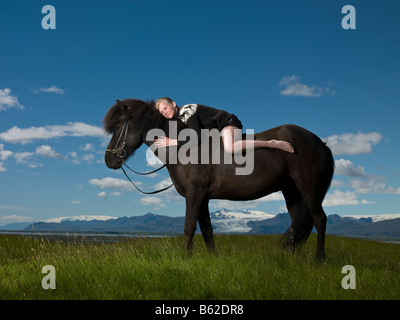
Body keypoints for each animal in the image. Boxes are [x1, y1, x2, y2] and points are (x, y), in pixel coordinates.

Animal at [103, 99, 334, 258]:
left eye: (118, 126)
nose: (108, 159)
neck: (183, 148)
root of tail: (319, 142)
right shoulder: (203, 197)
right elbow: (207, 229)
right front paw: (212, 257)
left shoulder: (195, 193)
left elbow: (189, 226)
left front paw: (187, 258)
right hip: (291, 192)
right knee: (297, 224)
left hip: (309, 190)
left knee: (320, 220)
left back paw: (319, 259)